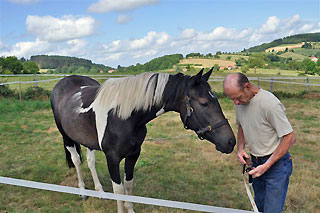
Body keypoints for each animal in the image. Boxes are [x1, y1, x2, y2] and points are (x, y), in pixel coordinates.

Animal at [50, 69, 235, 212]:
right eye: (203, 103)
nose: (230, 142)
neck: (123, 116)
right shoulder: (112, 158)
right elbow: (119, 190)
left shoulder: (133, 154)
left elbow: (128, 185)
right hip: (67, 137)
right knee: (76, 161)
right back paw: (82, 192)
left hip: (87, 141)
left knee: (90, 161)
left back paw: (100, 192)